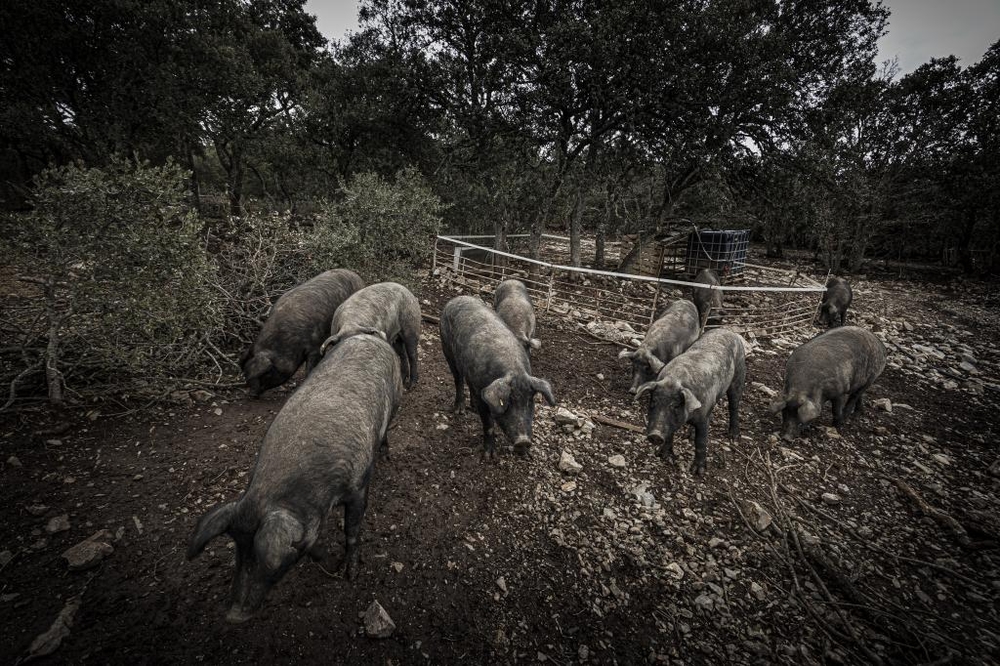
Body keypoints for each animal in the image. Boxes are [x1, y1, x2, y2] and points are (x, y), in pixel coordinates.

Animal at [189, 334, 400, 620]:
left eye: (268, 562)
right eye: (238, 551)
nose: (233, 615)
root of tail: (367, 335)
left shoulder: (357, 486)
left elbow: (352, 529)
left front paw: (350, 575)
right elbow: (312, 545)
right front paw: (329, 564)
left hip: (396, 398)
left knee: (388, 428)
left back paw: (386, 455)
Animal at [442, 296, 560, 456]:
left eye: (530, 401)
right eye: (508, 402)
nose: (523, 441)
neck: (513, 370)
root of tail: (455, 299)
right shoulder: (482, 394)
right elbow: (488, 424)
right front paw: (489, 456)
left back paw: (472, 409)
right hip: (447, 348)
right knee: (458, 379)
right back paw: (460, 411)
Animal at [632, 328, 744, 474]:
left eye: (675, 406)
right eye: (653, 402)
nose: (655, 435)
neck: (674, 380)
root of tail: (728, 331)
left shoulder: (703, 418)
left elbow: (701, 441)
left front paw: (697, 472)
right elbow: (670, 434)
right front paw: (664, 457)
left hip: (739, 375)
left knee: (734, 405)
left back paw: (733, 436)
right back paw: (688, 435)